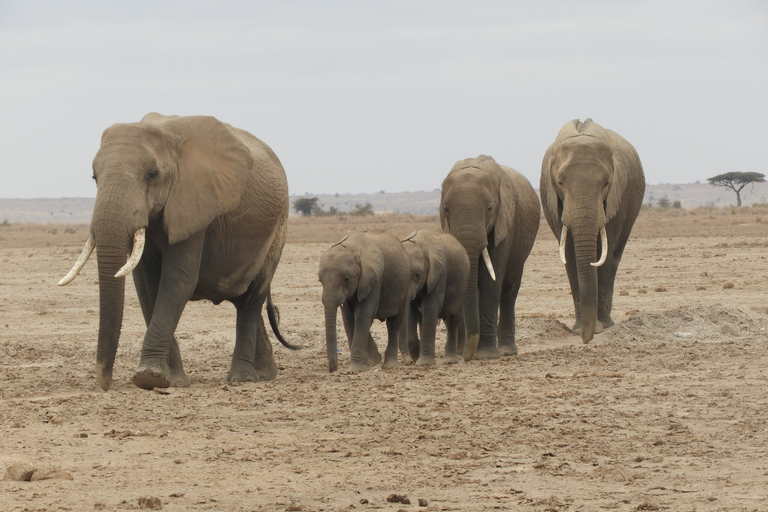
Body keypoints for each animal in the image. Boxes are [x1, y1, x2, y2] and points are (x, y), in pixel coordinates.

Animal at [58, 113, 298, 392]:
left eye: (152, 174)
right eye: (95, 177)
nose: (105, 384)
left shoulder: (195, 203)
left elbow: (177, 282)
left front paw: (149, 377)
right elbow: (148, 288)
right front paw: (171, 380)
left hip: (277, 229)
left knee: (251, 299)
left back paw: (243, 379)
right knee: (243, 299)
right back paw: (266, 374)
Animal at [316, 232, 412, 372]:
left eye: (346, 279)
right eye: (320, 281)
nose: (333, 369)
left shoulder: (374, 279)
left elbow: (363, 315)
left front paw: (356, 369)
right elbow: (349, 318)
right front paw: (370, 363)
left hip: (405, 286)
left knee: (394, 324)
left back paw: (390, 366)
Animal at [400, 230, 472, 366]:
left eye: (418, 275)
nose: (409, 362)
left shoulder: (440, 274)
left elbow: (430, 307)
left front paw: (424, 363)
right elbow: (411, 311)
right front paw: (417, 358)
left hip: (462, 290)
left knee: (453, 320)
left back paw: (450, 361)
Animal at [438, 156, 540, 360]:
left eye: (489, 209)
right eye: (446, 209)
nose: (466, 357)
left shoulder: (505, 224)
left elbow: (490, 280)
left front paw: (485, 355)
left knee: (509, 291)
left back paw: (507, 351)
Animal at [540, 119, 648, 342]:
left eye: (606, 183)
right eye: (560, 182)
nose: (586, 339)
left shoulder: (617, 199)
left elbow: (604, 254)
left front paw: (601, 328)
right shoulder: (554, 203)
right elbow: (570, 256)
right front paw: (578, 329)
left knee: (614, 257)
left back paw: (608, 323)